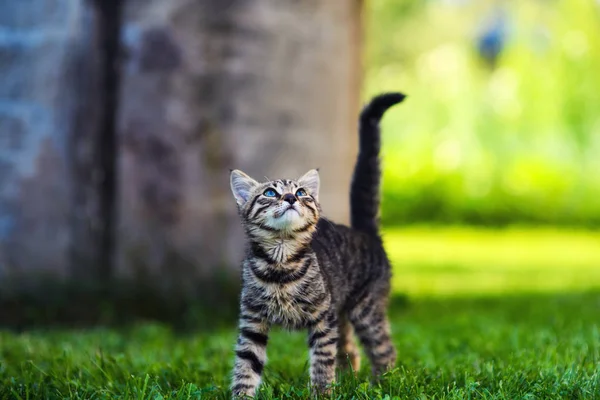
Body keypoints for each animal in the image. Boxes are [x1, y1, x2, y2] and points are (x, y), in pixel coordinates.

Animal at [227, 93, 406, 396]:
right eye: (270, 193)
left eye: (301, 193)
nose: (290, 198)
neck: (281, 264)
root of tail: (365, 233)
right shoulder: (252, 320)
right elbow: (246, 366)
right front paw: (242, 396)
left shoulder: (323, 319)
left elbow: (322, 361)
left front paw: (322, 393)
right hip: (342, 310)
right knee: (350, 351)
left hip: (365, 308)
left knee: (384, 350)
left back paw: (384, 384)